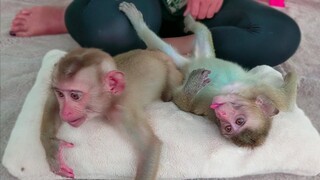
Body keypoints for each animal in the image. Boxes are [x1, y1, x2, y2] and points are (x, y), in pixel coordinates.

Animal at [40, 47, 182, 179]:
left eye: (75, 96)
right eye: (60, 94)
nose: (64, 113)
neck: (110, 99)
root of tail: (153, 51)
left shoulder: (123, 113)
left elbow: (149, 147)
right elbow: (52, 99)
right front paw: (53, 148)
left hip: (169, 67)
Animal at [119, 1, 298, 148]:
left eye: (229, 127)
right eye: (239, 121)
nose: (222, 114)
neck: (231, 92)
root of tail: (190, 61)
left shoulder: (206, 109)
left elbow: (179, 101)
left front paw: (191, 87)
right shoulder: (258, 89)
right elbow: (286, 101)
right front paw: (291, 74)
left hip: (196, 56)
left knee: (173, 43)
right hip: (206, 54)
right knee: (203, 32)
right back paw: (188, 21)